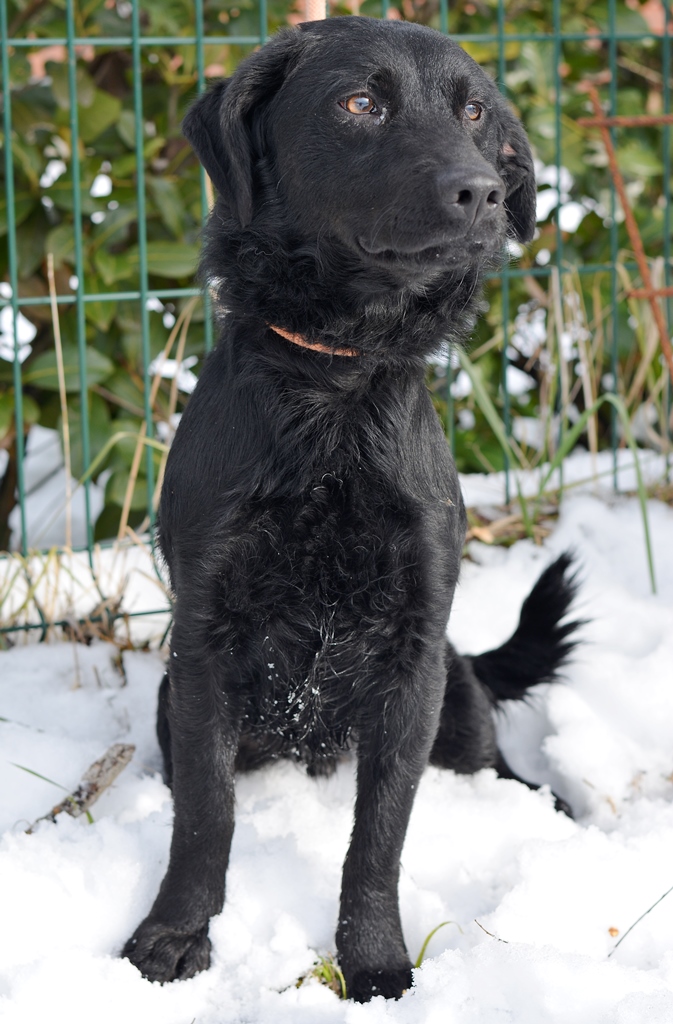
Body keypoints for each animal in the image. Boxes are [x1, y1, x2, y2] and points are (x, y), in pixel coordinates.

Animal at [122, 16, 579, 1002]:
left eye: (475, 113)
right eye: (359, 103)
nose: (484, 193)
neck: (333, 392)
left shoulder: (411, 654)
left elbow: (377, 838)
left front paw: (372, 960)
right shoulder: (203, 643)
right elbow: (204, 815)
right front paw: (175, 933)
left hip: (458, 691)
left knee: (498, 769)